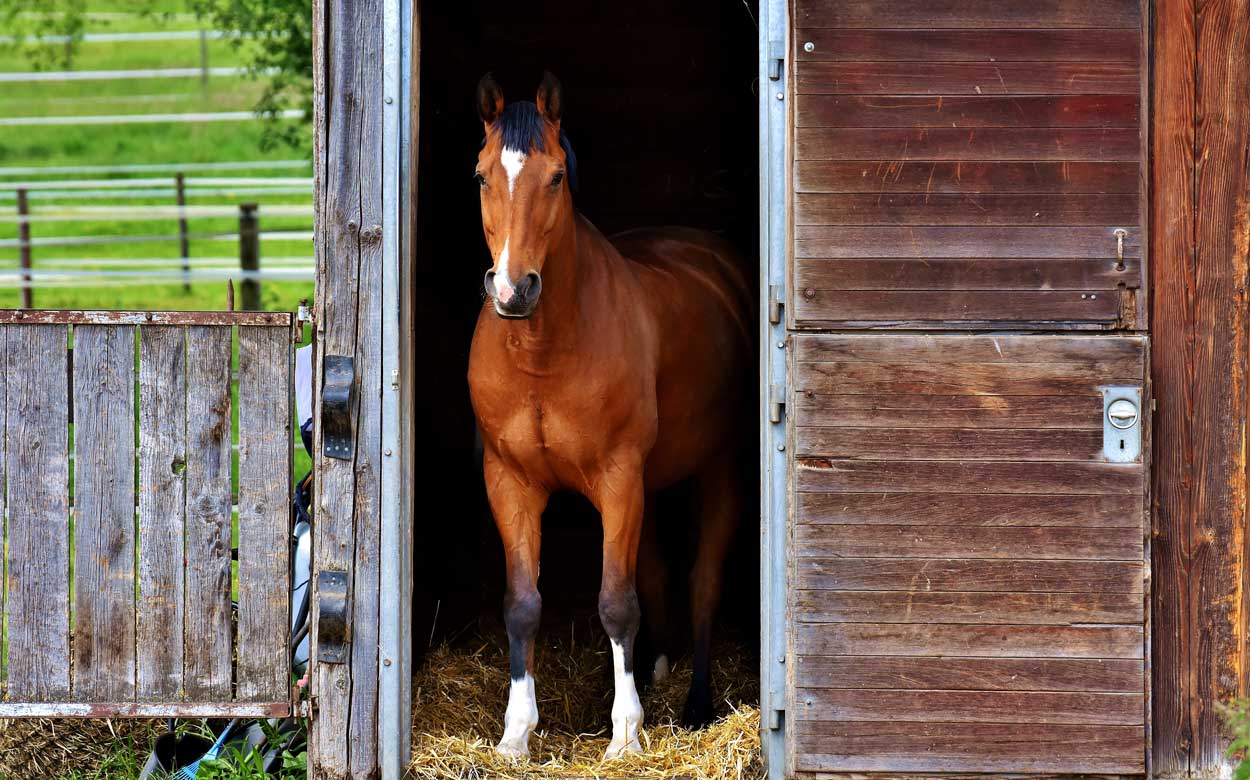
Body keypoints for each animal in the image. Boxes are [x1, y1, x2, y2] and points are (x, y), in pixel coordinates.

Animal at [466, 71, 752, 760]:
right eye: (482, 175)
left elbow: (617, 602)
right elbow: (522, 603)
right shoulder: (510, 481)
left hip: (719, 471)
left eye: (555, 177)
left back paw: (696, 704)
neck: (542, 352)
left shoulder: (619, 479)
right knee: (657, 573)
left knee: (702, 581)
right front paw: (516, 733)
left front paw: (625, 735)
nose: (513, 291)